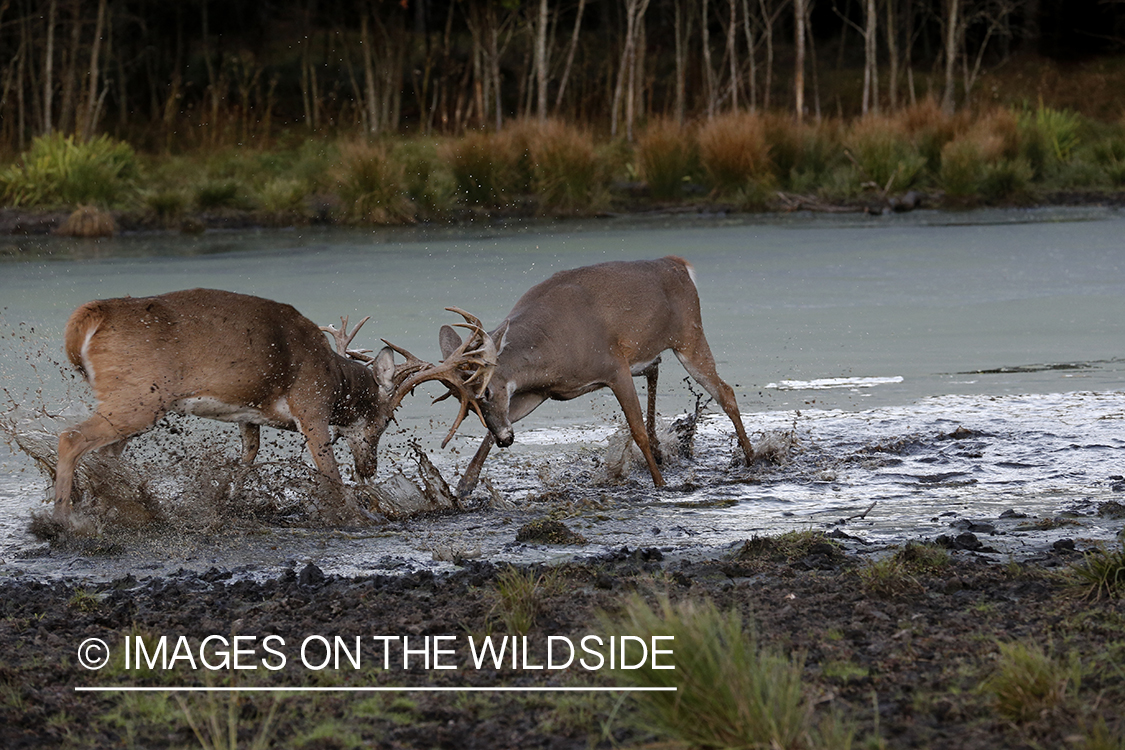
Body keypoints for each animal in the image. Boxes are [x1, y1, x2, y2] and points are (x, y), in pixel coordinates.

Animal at [52, 290, 492, 526]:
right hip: (139, 396)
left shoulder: (248, 414)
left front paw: (226, 500)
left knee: (106, 456)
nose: (370, 468)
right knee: (70, 437)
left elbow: (248, 457)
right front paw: (357, 516)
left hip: (139, 401)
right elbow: (330, 473)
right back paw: (63, 519)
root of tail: (88, 318)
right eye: (386, 419)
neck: (333, 376)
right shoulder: (311, 406)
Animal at [434, 255, 760, 494]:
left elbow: (636, 431)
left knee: (725, 391)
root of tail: (679, 264)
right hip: (650, 350)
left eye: (486, 390)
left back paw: (751, 459)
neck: (551, 351)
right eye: (466, 405)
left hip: (689, 336)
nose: (506, 441)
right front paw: (464, 486)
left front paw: (660, 484)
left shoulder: (614, 366)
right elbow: (495, 428)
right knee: (656, 369)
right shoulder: (540, 392)